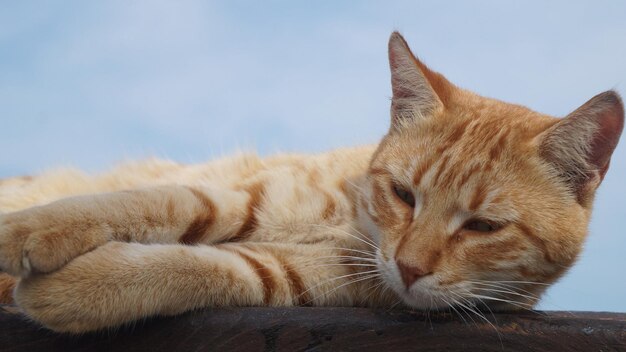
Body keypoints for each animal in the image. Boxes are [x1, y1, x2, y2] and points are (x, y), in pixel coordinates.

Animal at [0, 32, 620, 332]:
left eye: (484, 226)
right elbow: (151, 202)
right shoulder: (244, 196)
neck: (354, 219)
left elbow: (201, 266)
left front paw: (73, 287)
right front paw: (21, 231)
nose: (410, 267)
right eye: (404, 194)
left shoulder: (305, 277)